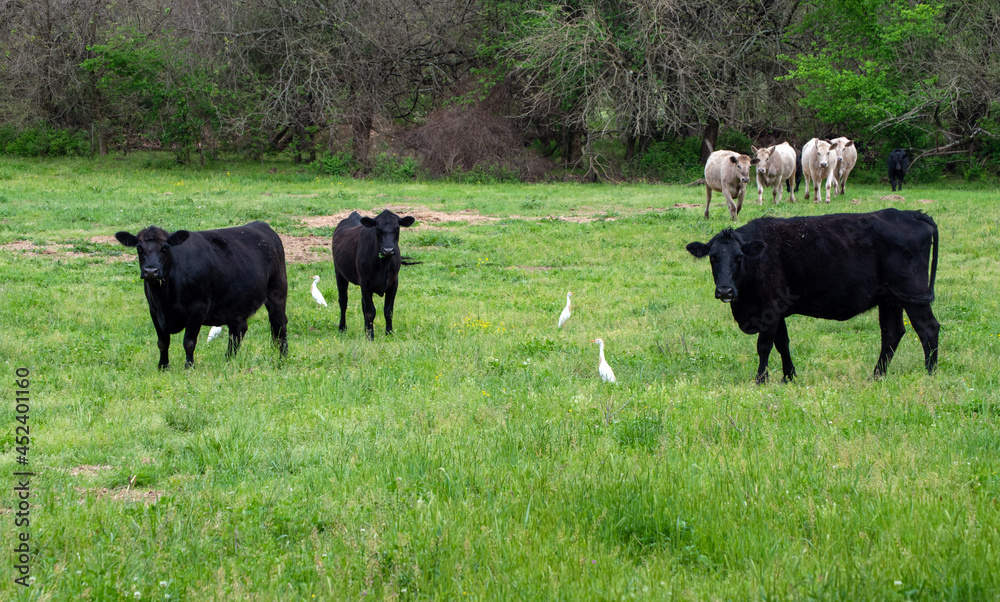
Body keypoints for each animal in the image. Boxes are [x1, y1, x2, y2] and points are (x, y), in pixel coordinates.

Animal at [115, 221, 289, 368]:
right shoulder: (154, 310)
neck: (165, 297)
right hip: (235, 302)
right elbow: (163, 342)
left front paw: (189, 367)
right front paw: (163, 366)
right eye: (139, 248)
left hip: (277, 292)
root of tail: (261, 225)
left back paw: (282, 359)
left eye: (165, 248)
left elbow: (189, 342)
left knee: (279, 324)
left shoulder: (197, 308)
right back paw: (228, 360)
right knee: (237, 330)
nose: (150, 271)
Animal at [331, 210, 417, 340]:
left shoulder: (393, 283)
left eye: (397, 228)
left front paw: (389, 333)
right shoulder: (365, 283)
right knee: (343, 301)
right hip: (339, 273)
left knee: (362, 304)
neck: (383, 265)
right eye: (378, 229)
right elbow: (370, 311)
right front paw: (370, 336)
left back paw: (365, 329)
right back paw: (342, 328)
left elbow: (388, 310)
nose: (388, 250)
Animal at [685, 209, 939, 383]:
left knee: (927, 329)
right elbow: (783, 343)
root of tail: (911, 214)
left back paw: (930, 373)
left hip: (913, 294)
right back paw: (876, 376)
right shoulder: (778, 311)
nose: (725, 290)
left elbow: (764, 345)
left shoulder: (769, 308)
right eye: (713, 257)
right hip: (890, 299)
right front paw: (789, 377)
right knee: (891, 333)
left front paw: (761, 379)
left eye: (739, 257)